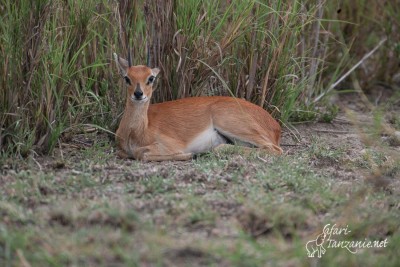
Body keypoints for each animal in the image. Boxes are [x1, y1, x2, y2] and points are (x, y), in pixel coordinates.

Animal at [114, 52, 282, 161]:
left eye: (150, 78)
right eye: (127, 78)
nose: (138, 93)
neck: (136, 131)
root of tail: (275, 126)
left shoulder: (170, 145)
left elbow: (141, 154)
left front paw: (189, 155)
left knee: (275, 149)